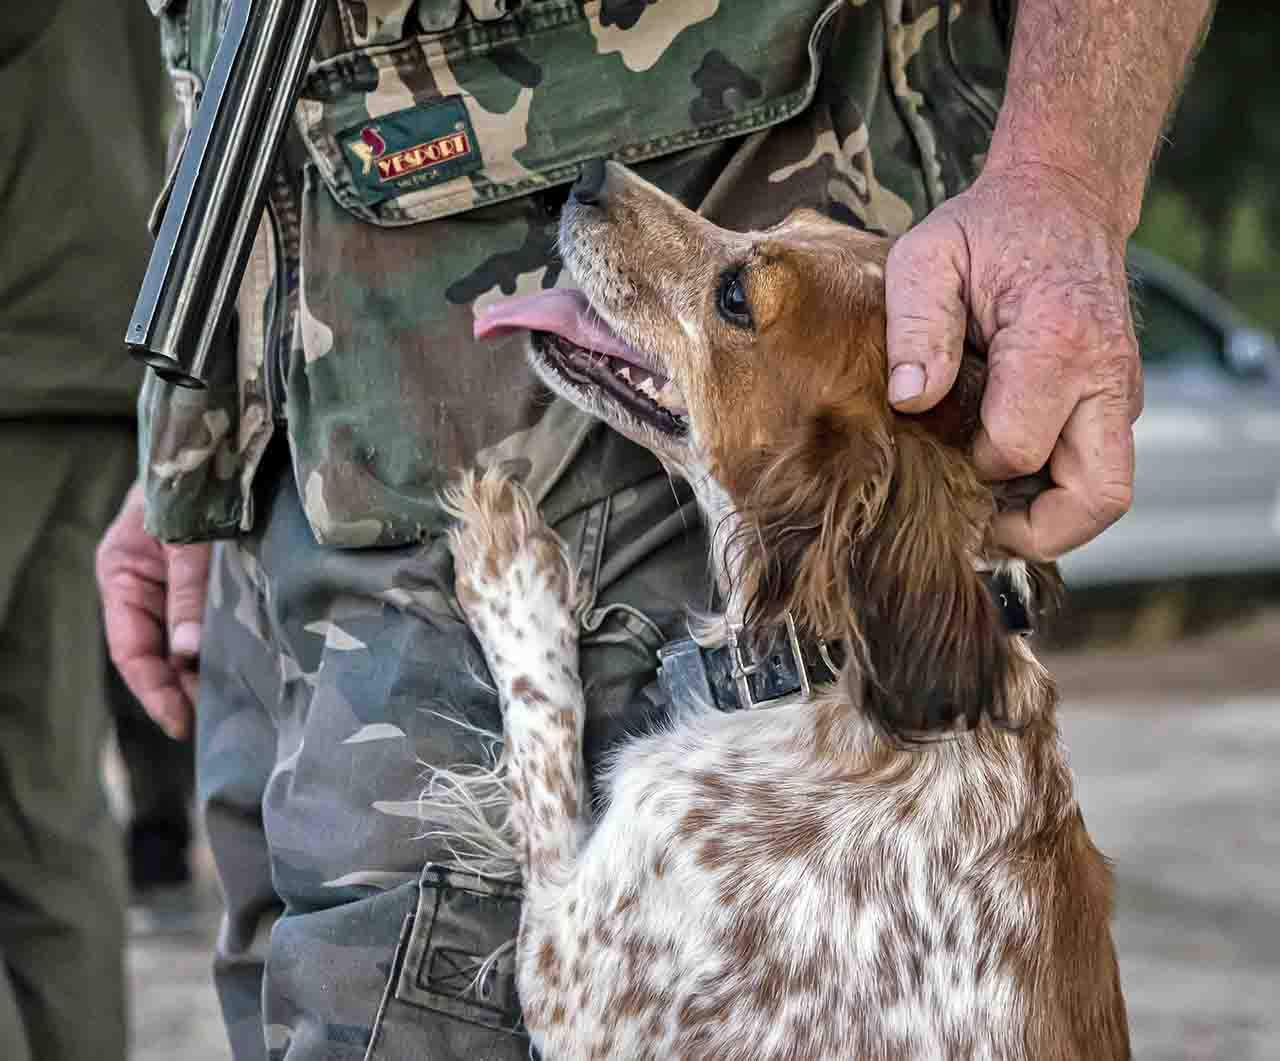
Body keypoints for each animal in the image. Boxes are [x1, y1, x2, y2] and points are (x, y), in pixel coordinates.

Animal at [445, 159, 1126, 1059]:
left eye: (737, 298)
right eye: (791, 221)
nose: (588, 177)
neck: (836, 665)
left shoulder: (574, 977)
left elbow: (542, 737)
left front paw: (510, 565)